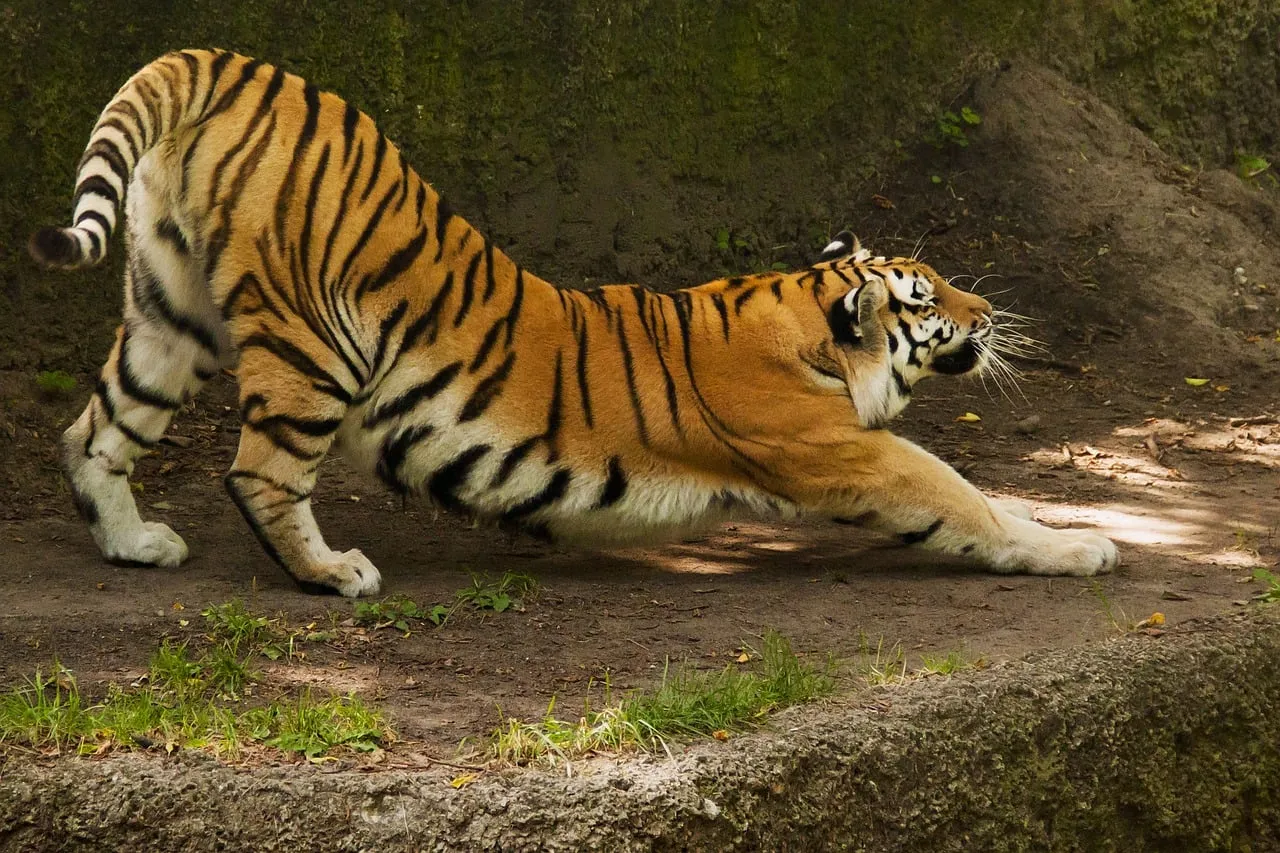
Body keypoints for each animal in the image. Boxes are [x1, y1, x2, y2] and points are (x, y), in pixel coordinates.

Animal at [29, 49, 1118, 597]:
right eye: (926, 298)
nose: (990, 310)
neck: (807, 326)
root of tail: (231, 63)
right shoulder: (846, 452)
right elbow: (965, 500)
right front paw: (1083, 548)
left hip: (170, 315)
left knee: (92, 431)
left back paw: (135, 544)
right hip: (312, 343)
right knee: (259, 473)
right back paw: (334, 573)